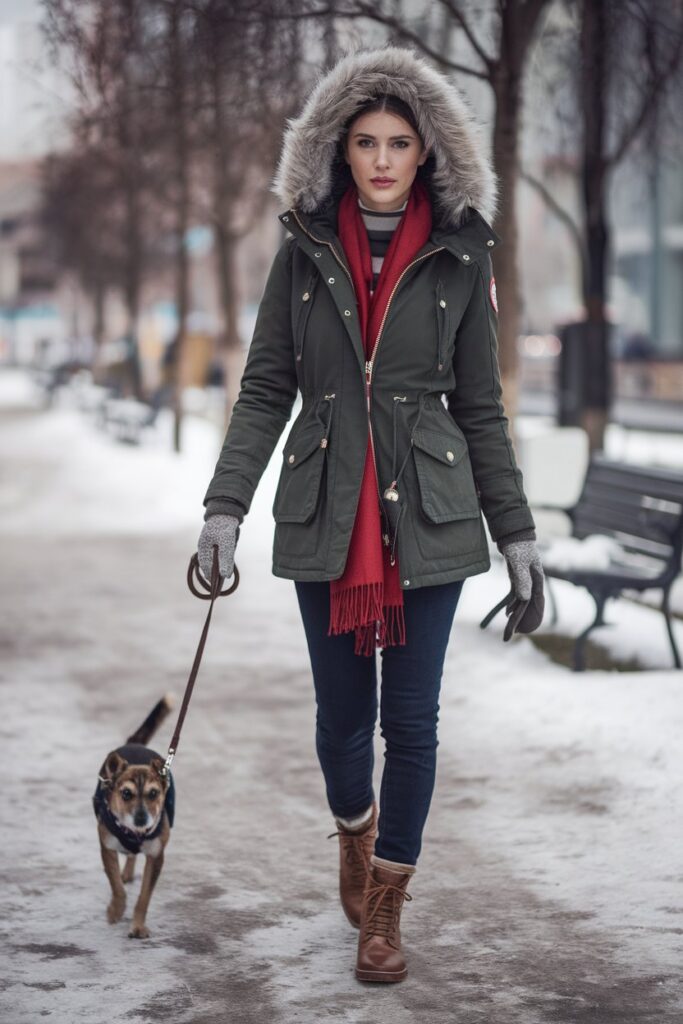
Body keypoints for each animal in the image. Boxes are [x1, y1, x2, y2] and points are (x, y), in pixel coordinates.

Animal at [94, 696, 178, 937]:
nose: (141, 819)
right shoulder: (107, 848)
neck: (134, 833)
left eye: (154, 793)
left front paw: (138, 926)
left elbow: (144, 897)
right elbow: (117, 887)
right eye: (126, 794)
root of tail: (135, 744)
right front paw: (115, 910)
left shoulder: (157, 856)